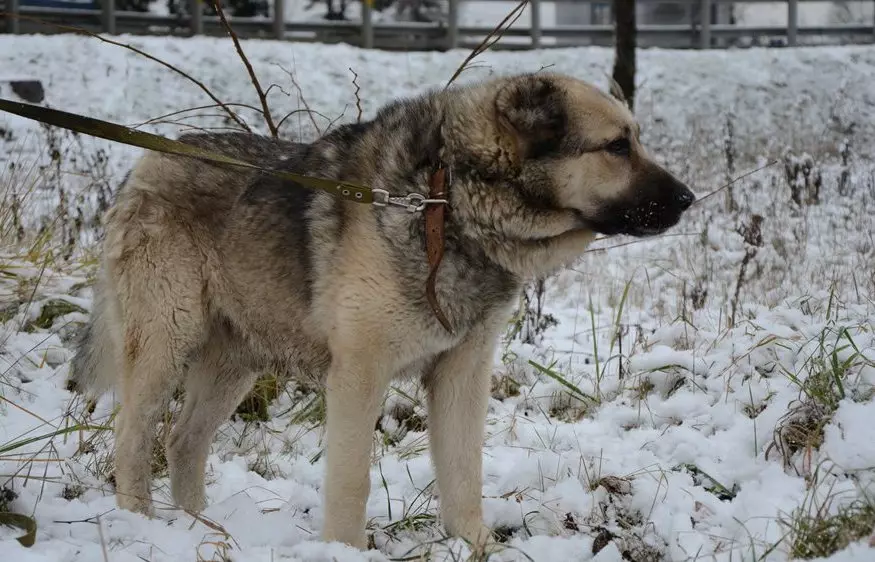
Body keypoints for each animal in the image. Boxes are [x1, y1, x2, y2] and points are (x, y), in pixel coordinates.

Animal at [66, 70, 700, 548]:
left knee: (183, 442)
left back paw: (205, 531)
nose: (690, 199)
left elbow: (464, 476)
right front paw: (345, 551)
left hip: (235, 362)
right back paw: (142, 525)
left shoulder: (462, 374)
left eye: (634, 140)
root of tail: (144, 167)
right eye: (617, 146)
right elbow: (351, 484)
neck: (447, 202)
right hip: (164, 344)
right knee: (133, 436)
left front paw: (476, 547)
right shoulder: (358, 375)